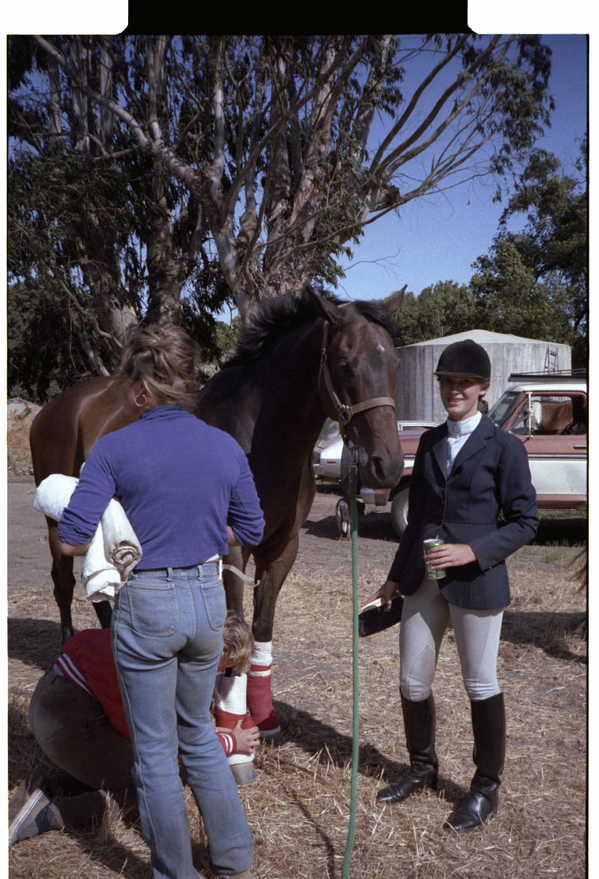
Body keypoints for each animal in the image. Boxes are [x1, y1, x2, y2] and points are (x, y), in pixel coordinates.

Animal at [30, 286, 405, 734]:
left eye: (394, 361)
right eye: (345, 363)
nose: (387, 465)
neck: (261, 439)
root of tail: (58, 406)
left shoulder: (282, 548)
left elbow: (260, 628)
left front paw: (263, 714)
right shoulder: (233, 552)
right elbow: (234, 624)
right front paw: (232, 715)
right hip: (59, 522)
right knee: (63, 584)